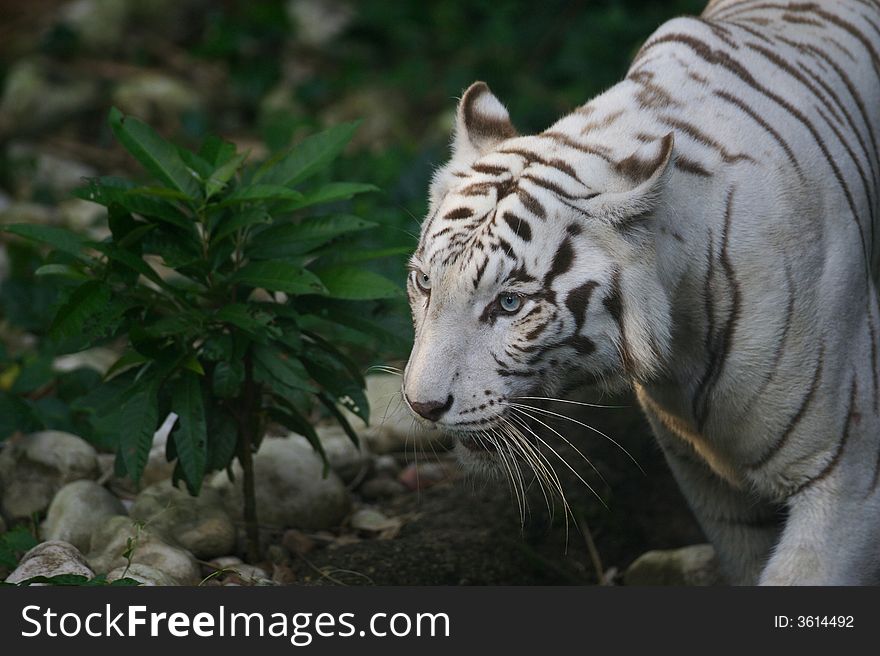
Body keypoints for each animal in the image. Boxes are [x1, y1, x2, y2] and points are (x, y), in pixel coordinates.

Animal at [402, 0, 880, 584]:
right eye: (424, 282)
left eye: (509, 302)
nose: (421, 406)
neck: (685, 328)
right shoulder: (709, 479)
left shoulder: (844, 475)